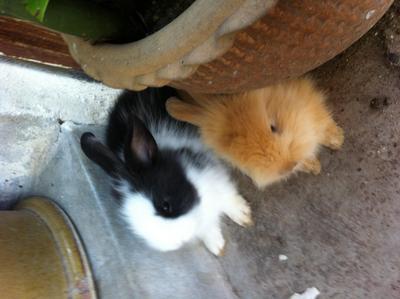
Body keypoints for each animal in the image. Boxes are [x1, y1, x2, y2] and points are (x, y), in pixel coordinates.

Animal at [79, 88, 252, 256]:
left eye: (165, 205)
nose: (179, 242)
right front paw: (216, 246)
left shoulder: (213, 172)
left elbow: (227, 195)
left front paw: (243, 215)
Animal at [166, 78, 344, 189]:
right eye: (242, 165)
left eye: (273, 127)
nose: (287, 168)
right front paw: (314, 167)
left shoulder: (310, 105)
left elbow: (324, 126)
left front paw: (338, 140)